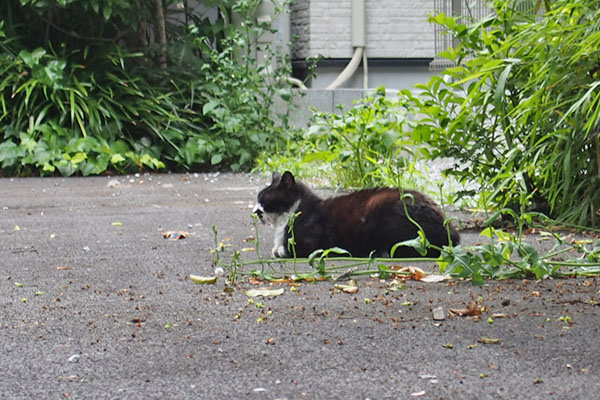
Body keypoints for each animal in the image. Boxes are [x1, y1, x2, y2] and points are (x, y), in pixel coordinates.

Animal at [252, 172, 460, 260]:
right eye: (258, 197)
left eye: (264, 198)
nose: (255, 211)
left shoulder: (310, 245)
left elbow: (282, 249)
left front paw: (278, 250)